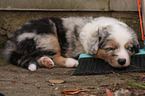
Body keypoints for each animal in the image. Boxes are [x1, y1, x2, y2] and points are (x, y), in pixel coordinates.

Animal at [3, 16, 139, 71]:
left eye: (130, 48)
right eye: (110, 48)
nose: (122, 61)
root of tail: (13, 41)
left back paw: (46, 62)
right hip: (48, 35)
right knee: (54, 56)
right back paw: (71, 62)